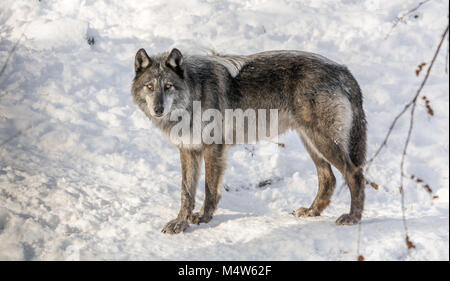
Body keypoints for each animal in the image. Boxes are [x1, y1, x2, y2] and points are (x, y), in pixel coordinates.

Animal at [130, 47, 366, 233]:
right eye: (150, 87)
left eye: (168, 86)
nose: (158, 109)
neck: (194, 94)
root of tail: (343, 70)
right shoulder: (188, 150)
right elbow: (186, 192)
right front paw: (180, 223)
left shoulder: (213, 148)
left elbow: (209, 189)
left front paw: (203, 218)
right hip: (310, 142)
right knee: (328, 179)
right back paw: (311, 211)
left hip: (322, 142)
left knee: (355, 173)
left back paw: (352, 218)